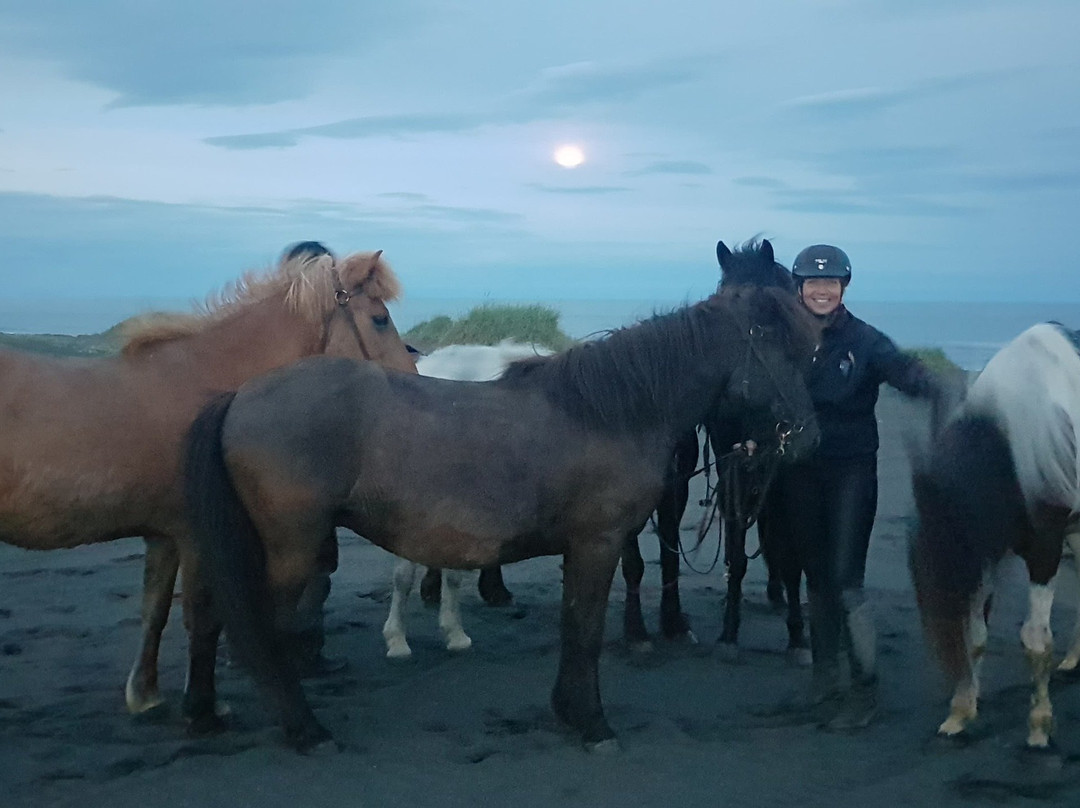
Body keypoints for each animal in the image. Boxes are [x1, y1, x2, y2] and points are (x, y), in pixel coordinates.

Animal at [0, 244, 416, 731]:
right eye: (379, 319)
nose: (411, 383)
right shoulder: (198, 536)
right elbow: (203, 615)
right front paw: (202, 710)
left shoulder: (164, 535)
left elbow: (155, 611)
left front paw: (146, 694)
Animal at [621, 239, 808, 659]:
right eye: (722, 300)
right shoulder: (732, 467)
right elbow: (735, 548)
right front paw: (728, 633)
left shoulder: (782, 472)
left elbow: (790, 554)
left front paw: (797, 637)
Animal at [909, 322, 1080, 750]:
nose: (955, 679)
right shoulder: (989, 549)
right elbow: (977, 633)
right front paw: (961, 712)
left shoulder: (1044, 549)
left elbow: (1036, 641)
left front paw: (1039, 725)